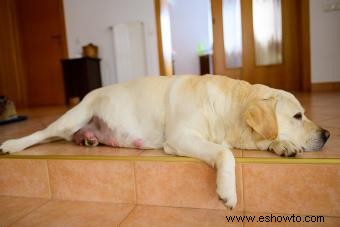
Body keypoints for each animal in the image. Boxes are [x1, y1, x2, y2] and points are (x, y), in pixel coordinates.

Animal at [0, 75, 330, 209]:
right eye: (298, 115)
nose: (327, 134)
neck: (227, 107)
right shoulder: (181, 137)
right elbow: (225, 153)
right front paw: (227, 191)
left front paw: (284, 146)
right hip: (72, 117)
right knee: (41, 134)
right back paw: (13, 145)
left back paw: (90, 140)